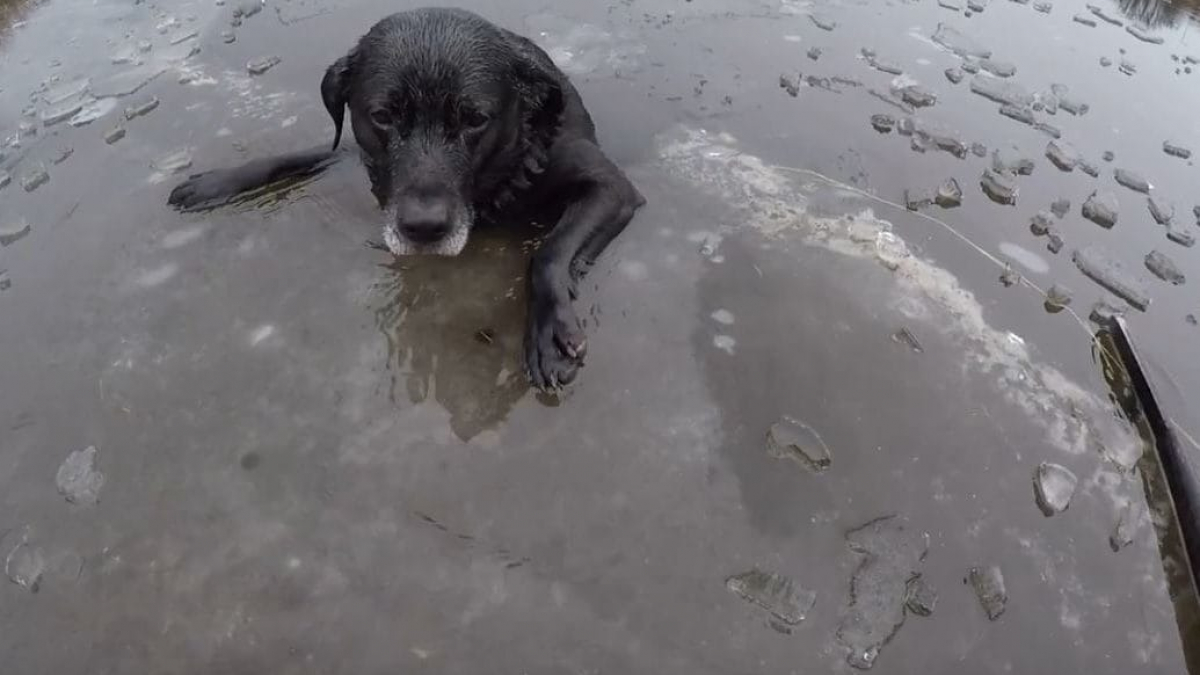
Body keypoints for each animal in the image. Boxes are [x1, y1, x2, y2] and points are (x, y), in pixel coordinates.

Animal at [166, 7, 648, 389]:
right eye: (382, 116)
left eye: (475, 119)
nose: (423, 227)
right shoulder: (357, 149)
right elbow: (302, 153)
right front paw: (216, 182)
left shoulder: (611, 187)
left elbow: (549, 253)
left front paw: (548, 334)